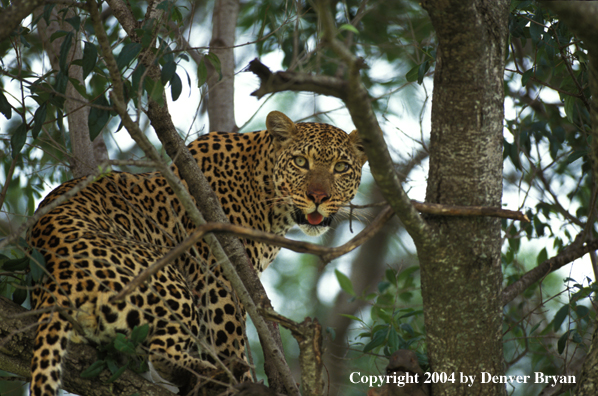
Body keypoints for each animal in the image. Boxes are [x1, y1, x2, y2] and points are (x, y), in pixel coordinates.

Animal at [28, 110, 368, 394]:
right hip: (166, 277)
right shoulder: (217, 276)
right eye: (300, 162)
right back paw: (217, 377)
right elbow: (228, 339)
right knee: (163, 351)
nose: (318, 197)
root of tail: (56, 278)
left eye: (341, 168)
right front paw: (242, 381)